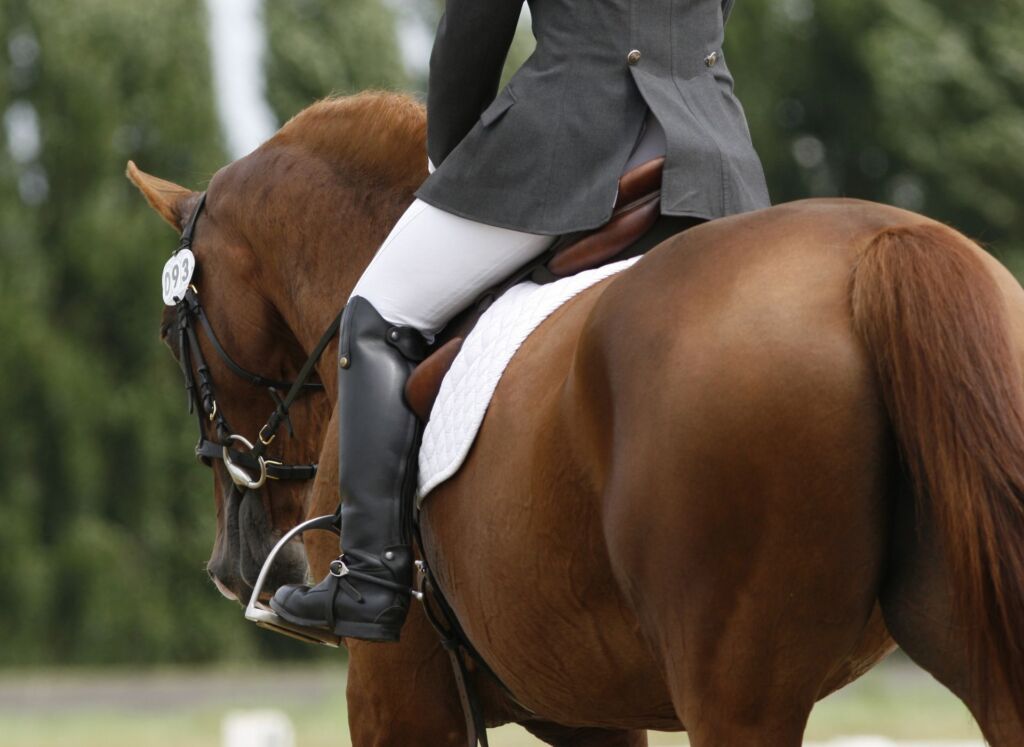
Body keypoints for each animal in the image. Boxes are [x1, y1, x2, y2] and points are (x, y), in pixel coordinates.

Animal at [132, 90, 1024, 741]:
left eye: (172, 333)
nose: (239, 564)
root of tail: (879, 247)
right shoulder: (581, 707)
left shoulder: (397, 690)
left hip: (736, 690)